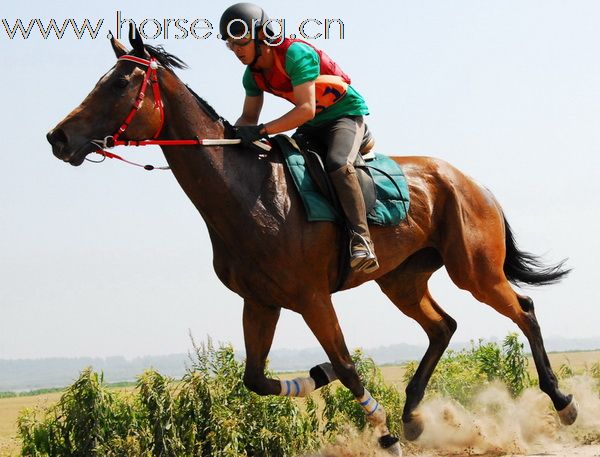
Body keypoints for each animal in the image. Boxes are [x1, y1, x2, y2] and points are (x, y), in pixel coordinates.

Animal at [45, 30, 576, 454]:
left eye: (118, 84)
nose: (58, 137)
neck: (248, 192)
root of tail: (471, 182)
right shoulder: (261, 301)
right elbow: (257, 379)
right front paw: (320, 377)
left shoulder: (312, 297)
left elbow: (347, 365)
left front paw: (382, 432)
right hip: (402, 280)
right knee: (443, 327)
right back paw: (413, 418)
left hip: (475, 271)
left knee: (523, 310)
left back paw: (562, 402)